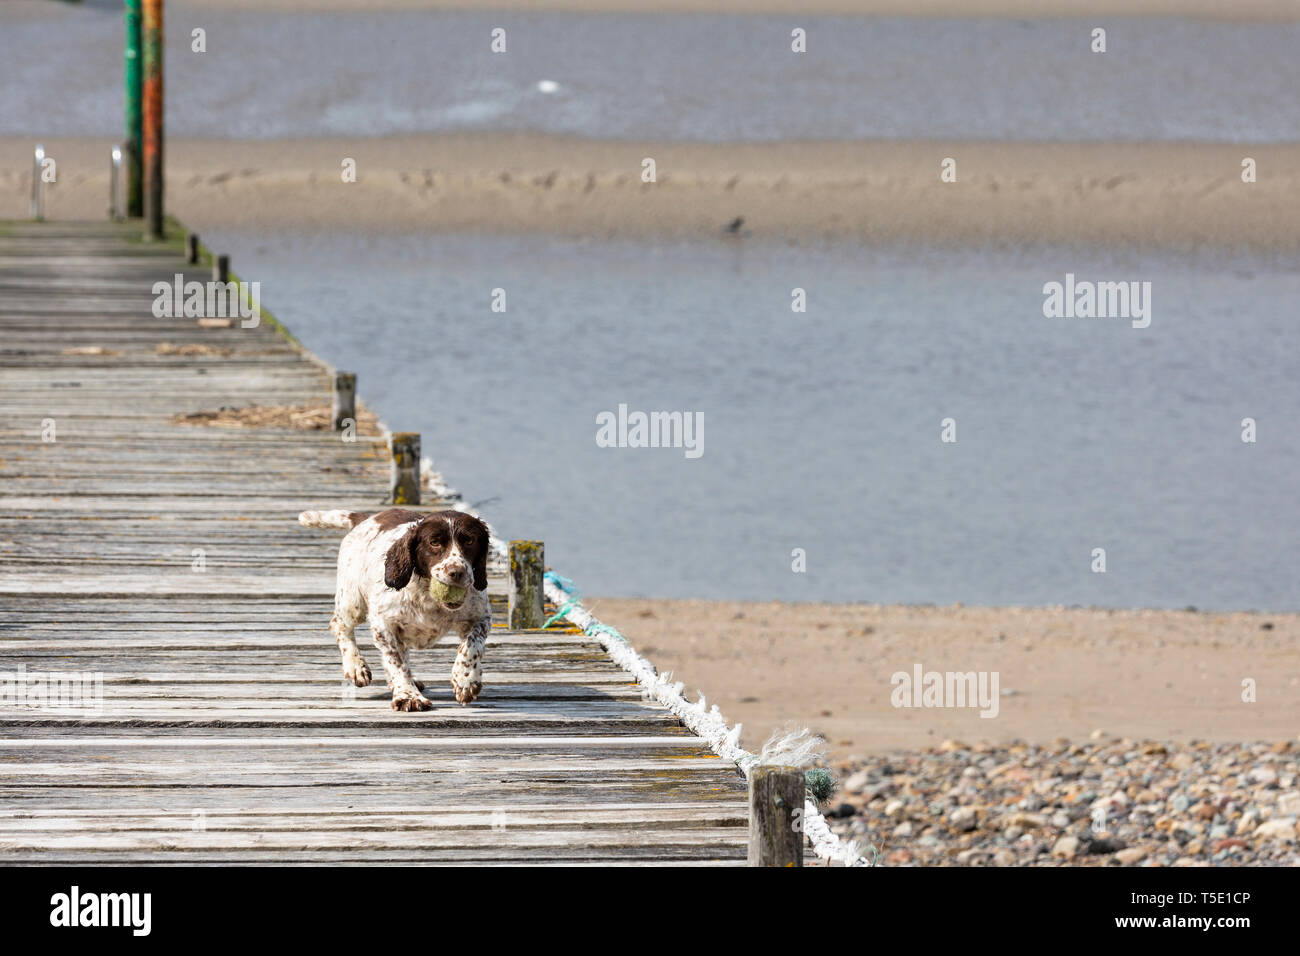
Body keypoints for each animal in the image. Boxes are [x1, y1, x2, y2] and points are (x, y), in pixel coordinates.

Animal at [297, 509, 493, 712]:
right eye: (434, 542)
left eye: (469, 541)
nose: (457, 572)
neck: (429, 598)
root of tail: (366, 518)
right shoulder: (383, 625)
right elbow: (396, 661)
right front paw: (408, 696)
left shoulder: (481, 617)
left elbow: (471, 645)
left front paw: (465, 681)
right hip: (353, 601)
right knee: (339, 625)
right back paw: (356, 667)